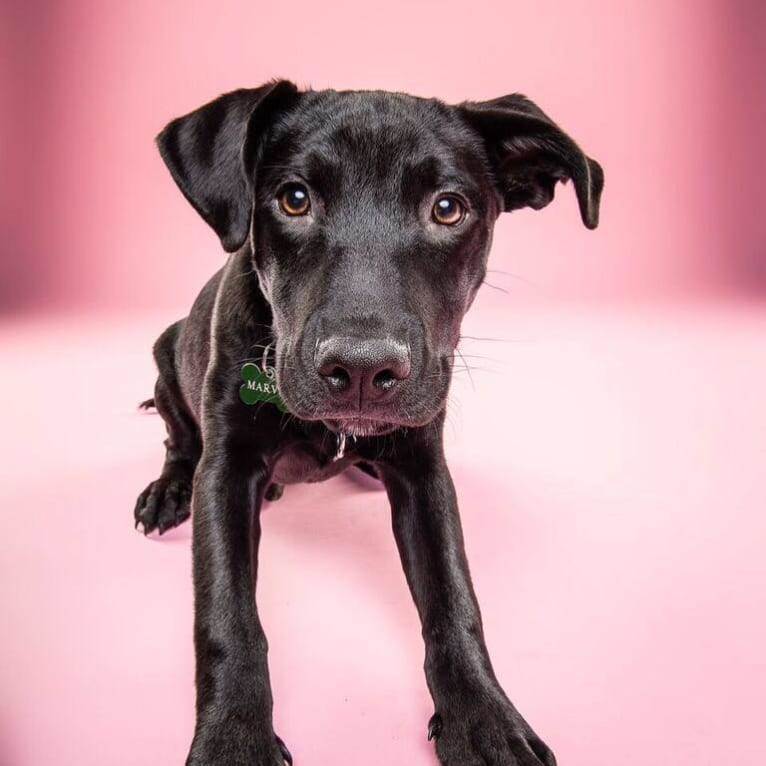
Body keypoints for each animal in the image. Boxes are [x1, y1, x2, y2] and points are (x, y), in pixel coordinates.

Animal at [138, 81, 608, 764]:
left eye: (447, 208)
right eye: (295, 198)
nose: (361, 369)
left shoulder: (423, 470)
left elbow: (455, 597)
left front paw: (485, 721)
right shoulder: (224, 472)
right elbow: (227, 616)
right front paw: (233, 740)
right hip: (167, 351)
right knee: (177, 437)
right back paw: (168, 488)